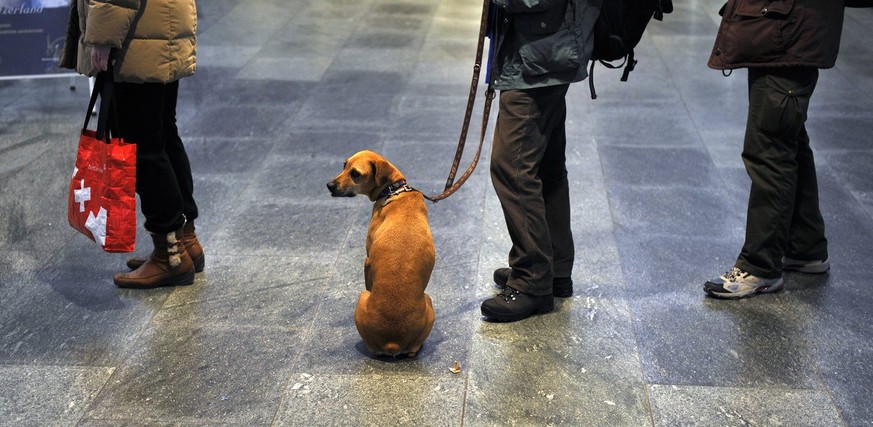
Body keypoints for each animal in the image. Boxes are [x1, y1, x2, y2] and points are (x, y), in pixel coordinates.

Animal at [326, 150, 434, 358]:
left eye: (355, 173)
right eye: (344, 165)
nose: (329, 186)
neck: (394, 190)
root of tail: (392, 343)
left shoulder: (367, 261)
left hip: (364, 296)